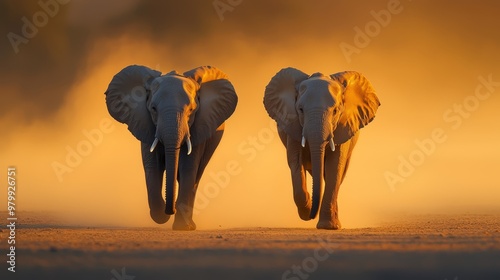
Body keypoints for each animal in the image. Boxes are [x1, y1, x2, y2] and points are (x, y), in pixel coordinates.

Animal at [103, 65, 238, 230]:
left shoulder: (199, 127)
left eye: (191, 110)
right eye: (153, 109)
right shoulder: (145, 124)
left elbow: (188, 167)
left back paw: (189, 225)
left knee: (196, 176)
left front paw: (180, 226)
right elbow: (152, 166)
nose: (170, 210)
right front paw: (161, 214)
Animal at [264, 68, 380, 230]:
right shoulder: (293, 124)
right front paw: (307, 210)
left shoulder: (343, 126)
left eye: (336, 111)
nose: (312, 214)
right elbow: (295, 162)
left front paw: (328, 226)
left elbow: (335, 166)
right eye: (300, 110)